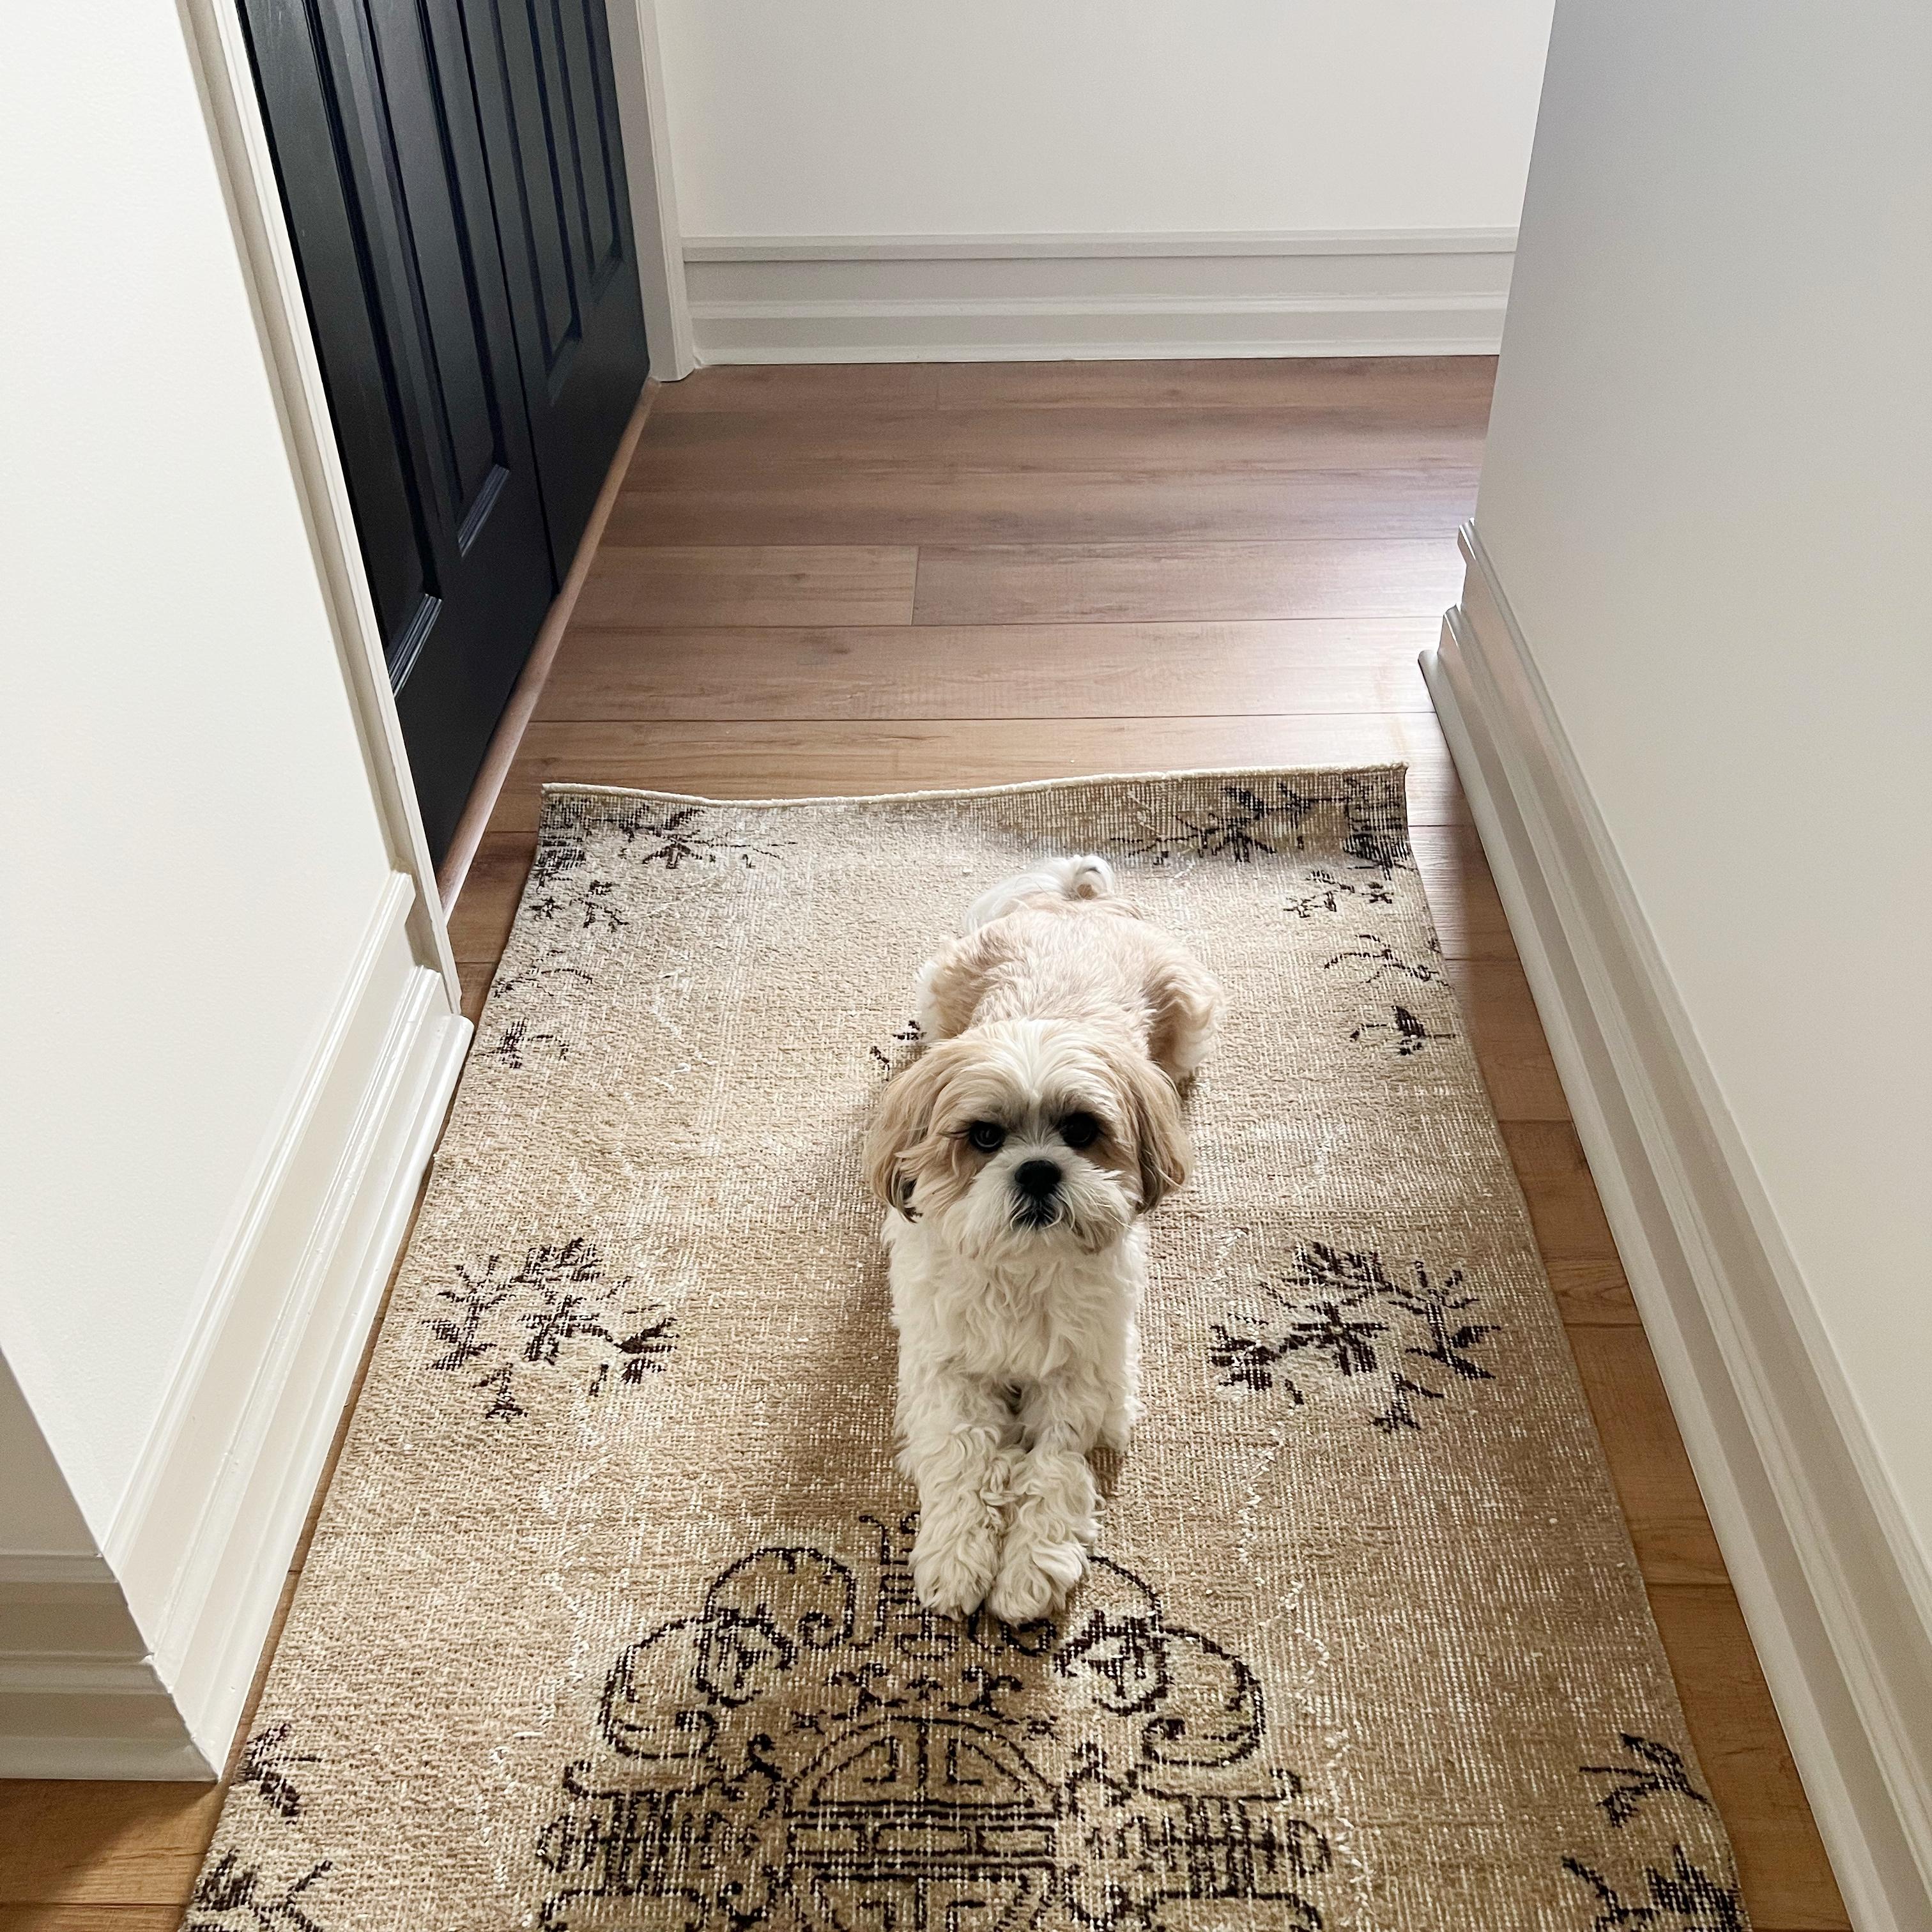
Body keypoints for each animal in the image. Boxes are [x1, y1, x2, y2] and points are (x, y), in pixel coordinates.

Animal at [865, 854, 1221, 1623]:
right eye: (984, 1137)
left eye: (1081, 1131)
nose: (1036, 1168)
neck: (1021, 1270)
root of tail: (1079, 906)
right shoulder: (945, 1370)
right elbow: (964, 1457)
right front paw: (955, 1558)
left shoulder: (1084, 1377)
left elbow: (1055, 1469)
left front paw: (1032, 1566)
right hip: (939, 992)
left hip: (1189, 1023)